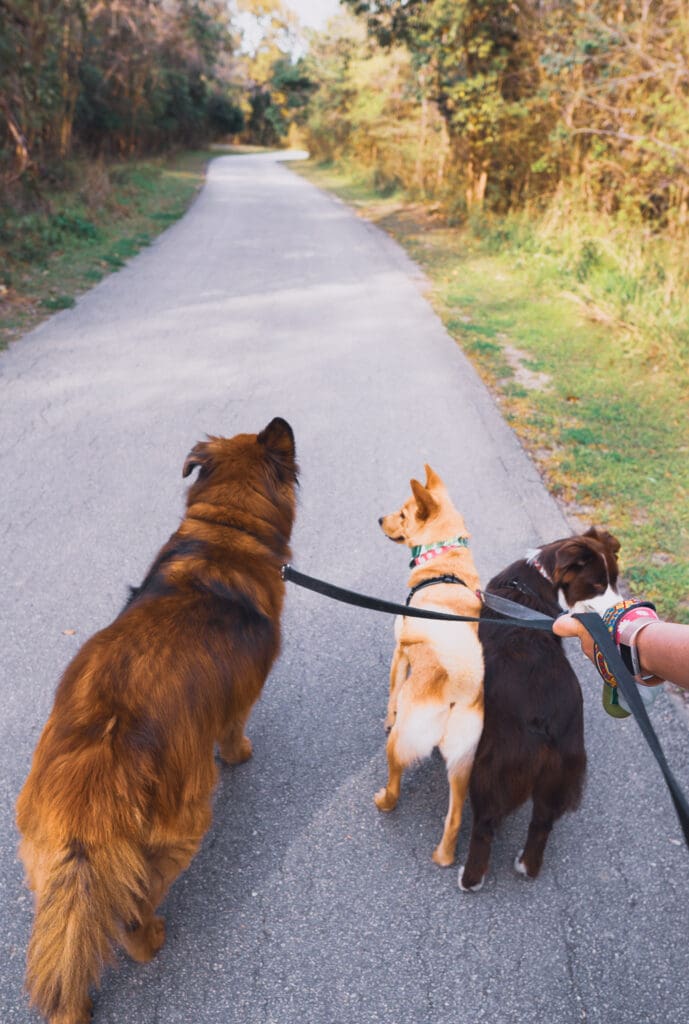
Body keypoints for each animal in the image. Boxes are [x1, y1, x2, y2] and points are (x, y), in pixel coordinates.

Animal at [14, 415, 296, 1024]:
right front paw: (241, 756)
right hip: (179, 833)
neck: (224, 534)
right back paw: (152, 938)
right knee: (131, 915)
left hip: (51, 868)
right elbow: (234, 732)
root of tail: (90, 783)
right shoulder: (241, 699)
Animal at [376, 468, 483, 868]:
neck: (445, 563)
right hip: (462, 766)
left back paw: (383, 801)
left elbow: (392, 691)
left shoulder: (399, 654)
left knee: (395, 781)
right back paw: (443, 856)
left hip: (400, 741)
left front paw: (387, 713)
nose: (379, 519)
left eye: (403, 514)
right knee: (454, 819)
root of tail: (458, 689)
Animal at [458, 528, 622, 888]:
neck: (540, 578)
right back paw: (526, 866)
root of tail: (546, 723)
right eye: (598, 584)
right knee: (542, 825)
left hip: (493, 766)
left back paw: (470, 879)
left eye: (616, 581)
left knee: (485, 826)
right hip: (561, 769)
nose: (619, 610)